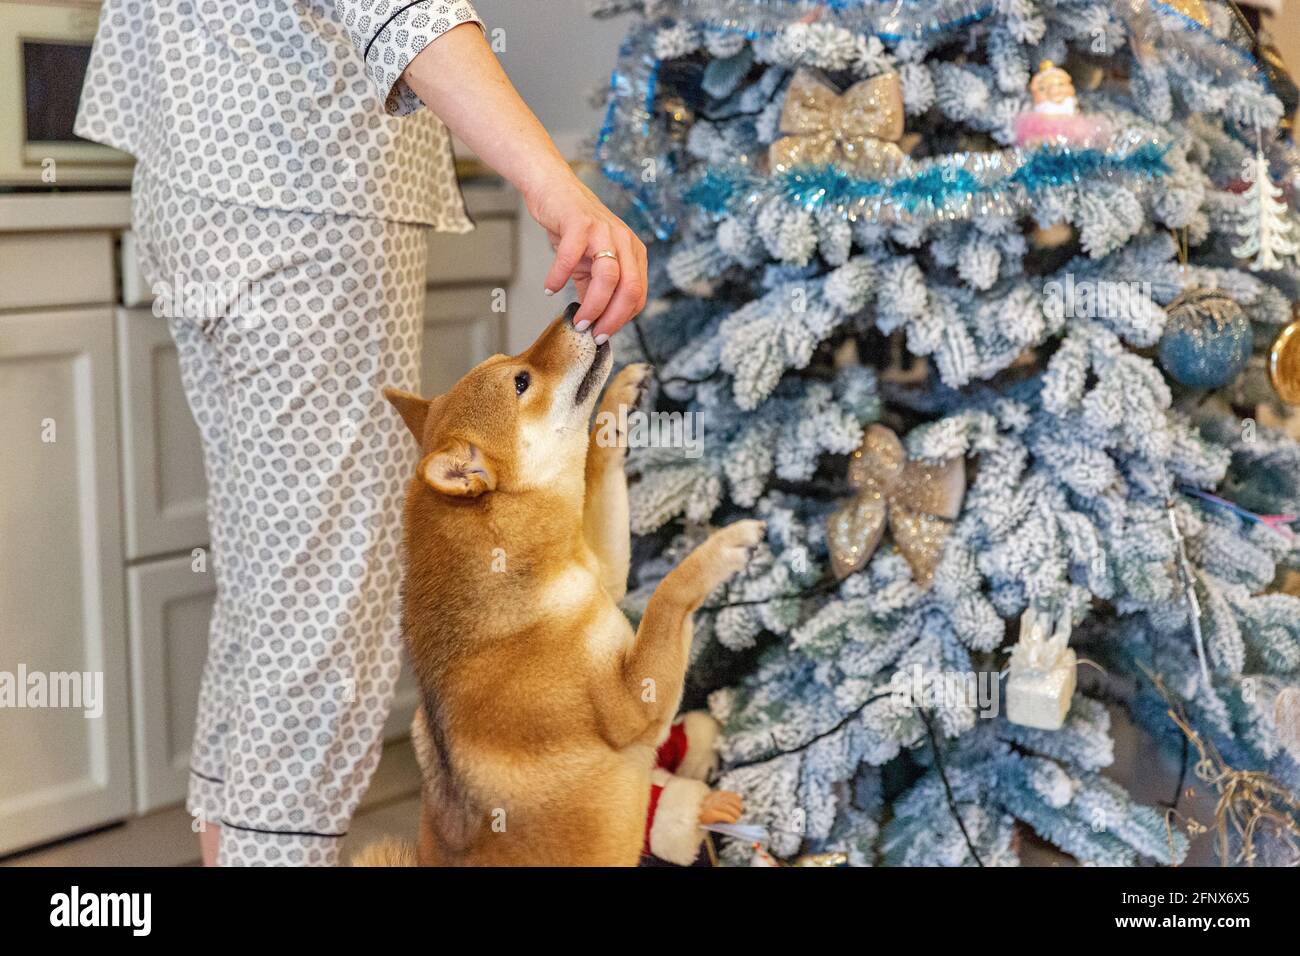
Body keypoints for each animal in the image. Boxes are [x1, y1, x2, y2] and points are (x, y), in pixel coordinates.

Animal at [356, 306, 759, 868]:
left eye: (510, 361)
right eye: (521, 382)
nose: (573, 311)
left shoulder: (603, 571)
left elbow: (600, 465)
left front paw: (618, 401)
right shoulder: (634, 709)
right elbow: (668, 594)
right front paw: (721, 549)